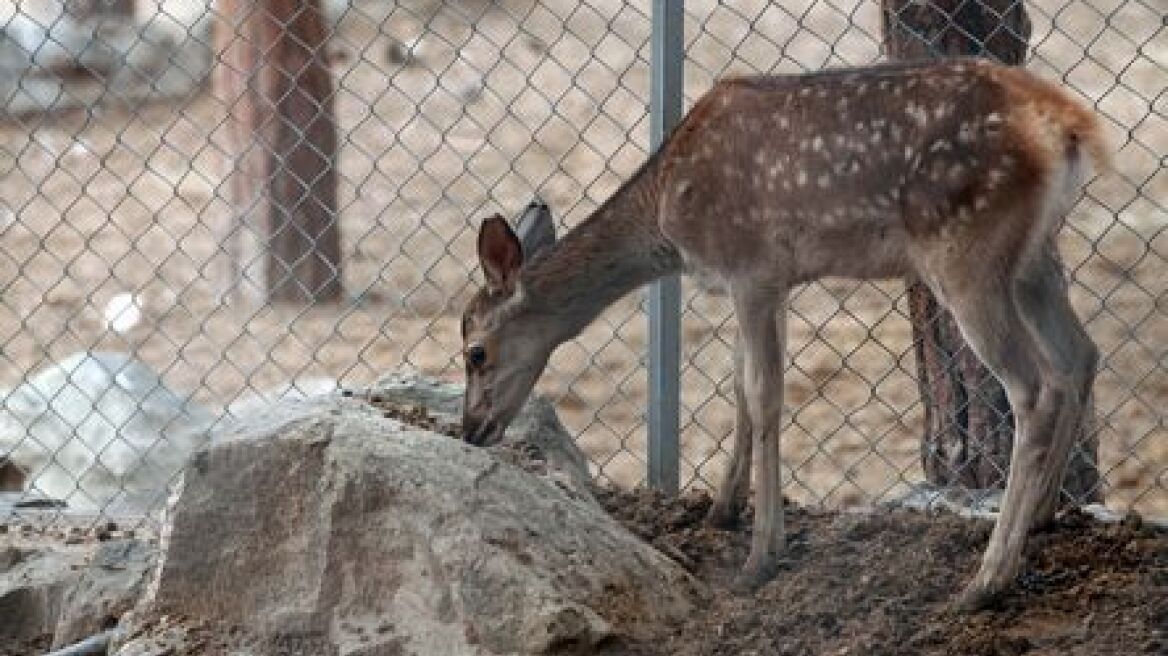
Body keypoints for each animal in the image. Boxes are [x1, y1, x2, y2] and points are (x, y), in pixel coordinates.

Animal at [453, 57, 1102, 606]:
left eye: (475, 352)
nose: (470, 430)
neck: (666, 217)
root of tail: (1067, 127)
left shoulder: (751, 268)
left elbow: (764, 395)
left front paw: (761, 556)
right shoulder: (774, 282)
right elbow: (741, 387)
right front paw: (722, 510)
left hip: (965, 250)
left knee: (1032, 386)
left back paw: (987, 579)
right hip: (1032, 258)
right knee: (1080, 354)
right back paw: (1041, 517)